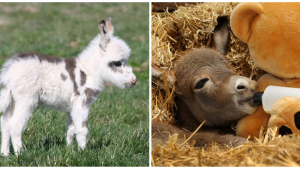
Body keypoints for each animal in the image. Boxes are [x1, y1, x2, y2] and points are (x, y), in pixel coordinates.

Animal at [0, 17, 136, 156]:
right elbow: (82, 129)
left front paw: (70, 149)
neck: (88, 71)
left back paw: (5, 154)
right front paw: (83, 152)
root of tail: (9, 69)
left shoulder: (72, 107)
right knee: (15, 126)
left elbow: (70, 129)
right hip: (26, 100)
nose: (134, 80)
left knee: (5, 123)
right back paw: (20, 154)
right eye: (117, 63)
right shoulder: (81, 104)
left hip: (13, 101)